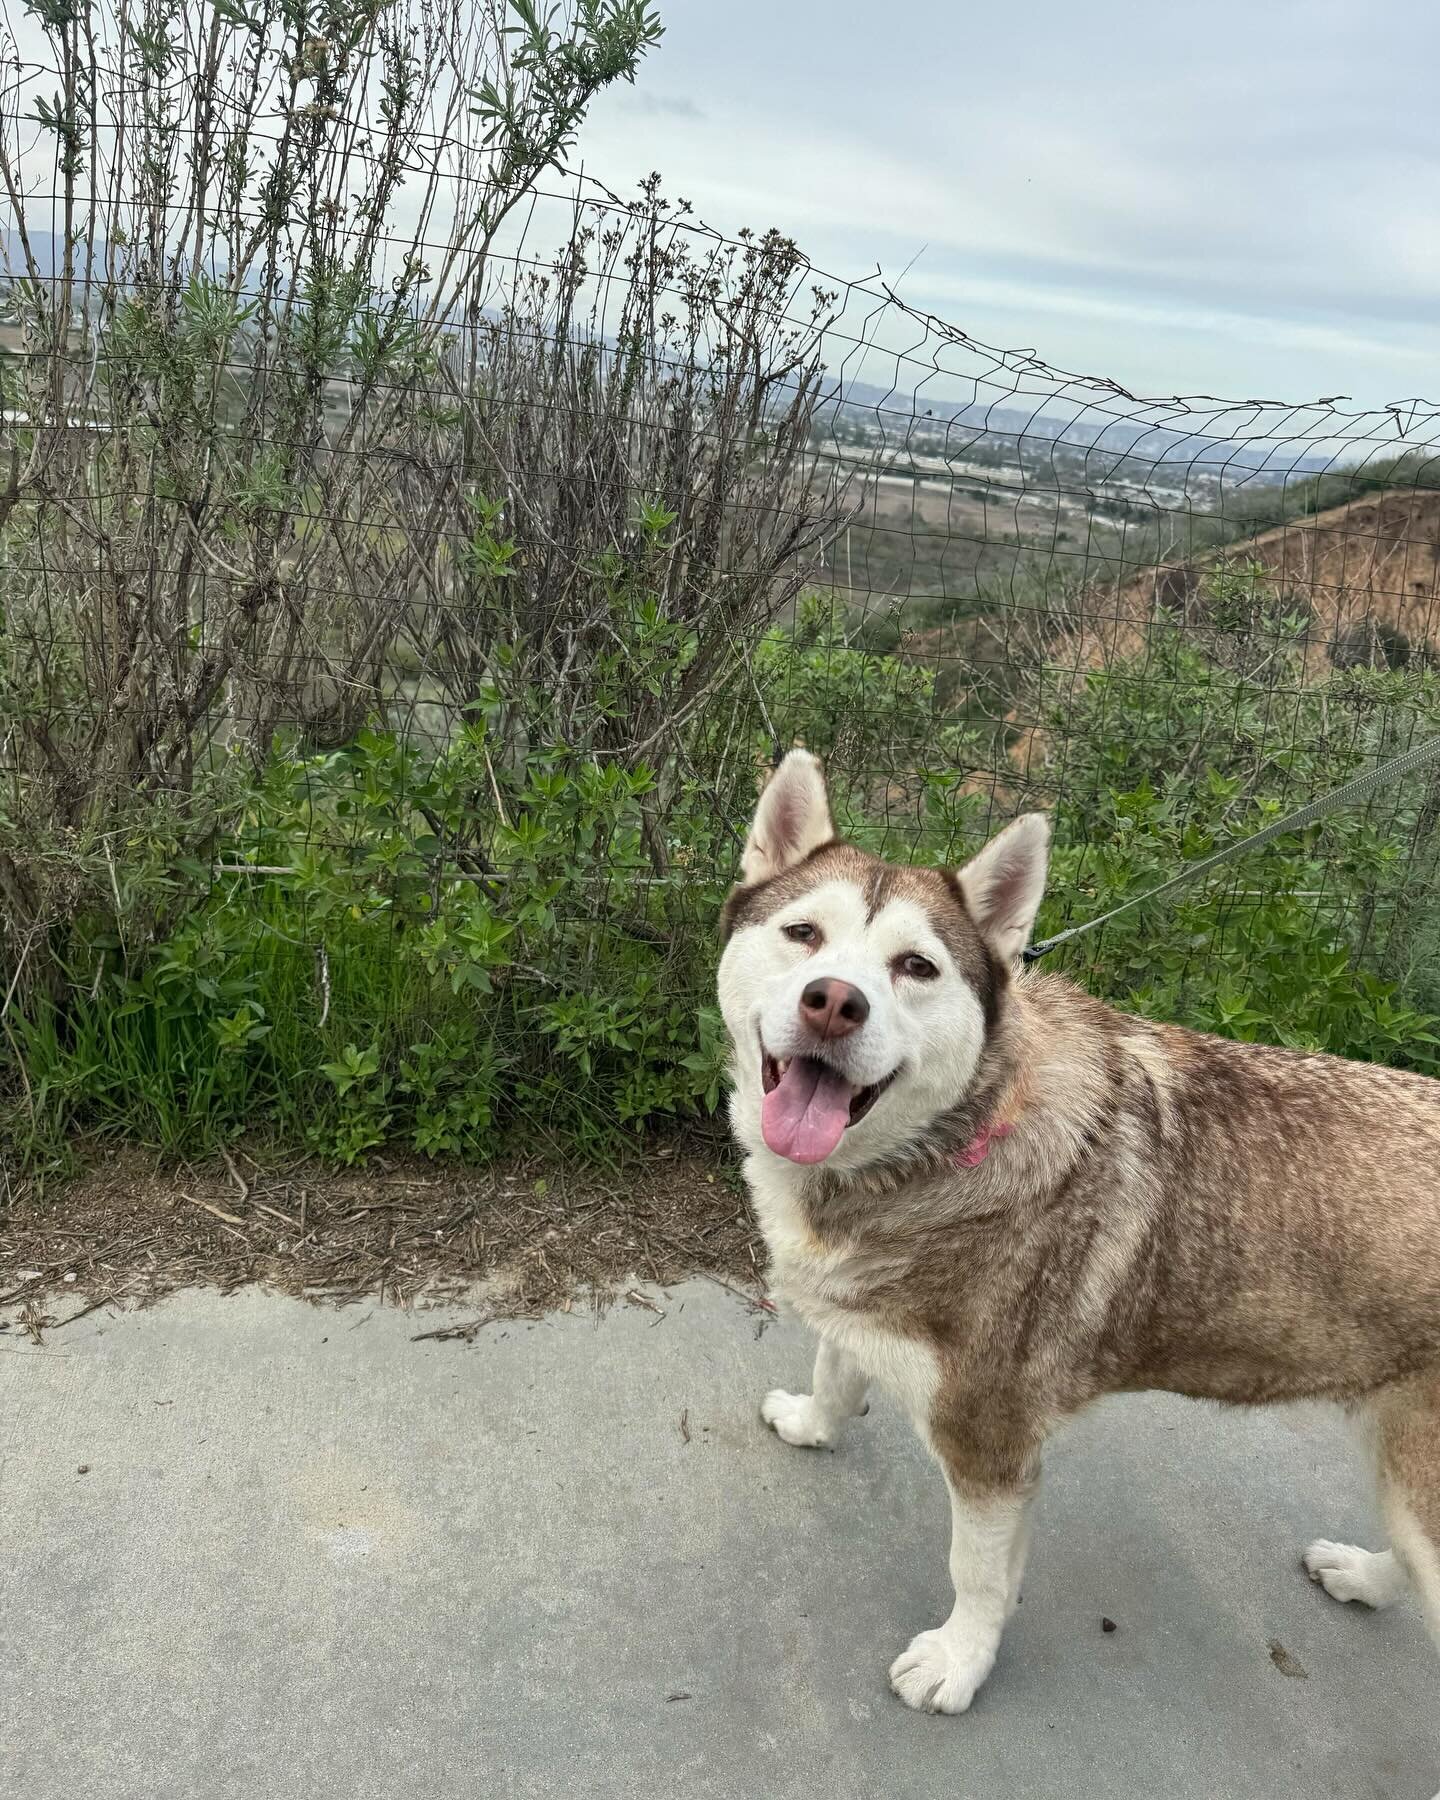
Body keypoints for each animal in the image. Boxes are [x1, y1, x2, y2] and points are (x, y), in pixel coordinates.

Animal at [716, 752, 1440, 1749]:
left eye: (916, 967)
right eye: (802, 933)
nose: (834, 1003)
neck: (951, 1139)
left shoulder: (990, 1443)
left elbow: (977, 1575)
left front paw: (958, 1664)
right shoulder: (867, 1314)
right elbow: (835, 1366)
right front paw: (815, 1423)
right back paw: (1364, 1578)